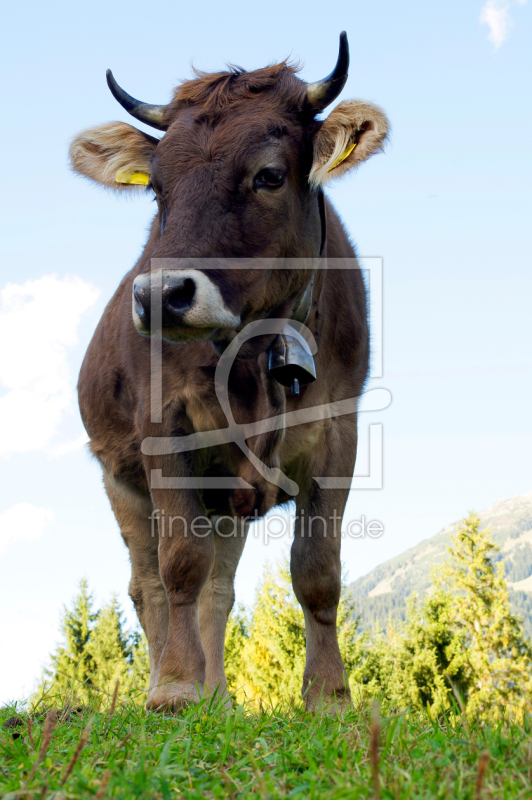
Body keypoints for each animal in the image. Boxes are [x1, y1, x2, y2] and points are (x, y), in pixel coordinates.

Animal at [70, 31, 388, 708]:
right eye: (157, 189)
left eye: (268, 175)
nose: (161, 295)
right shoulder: (164, 427)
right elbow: (179, 563)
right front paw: (176, 686)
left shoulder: (339, 430)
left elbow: (317, 569)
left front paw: (328, 696)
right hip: (119, 477)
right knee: (149, 585)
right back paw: (172, 680)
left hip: (225, 493)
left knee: (218, 590)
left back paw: (217, 694)